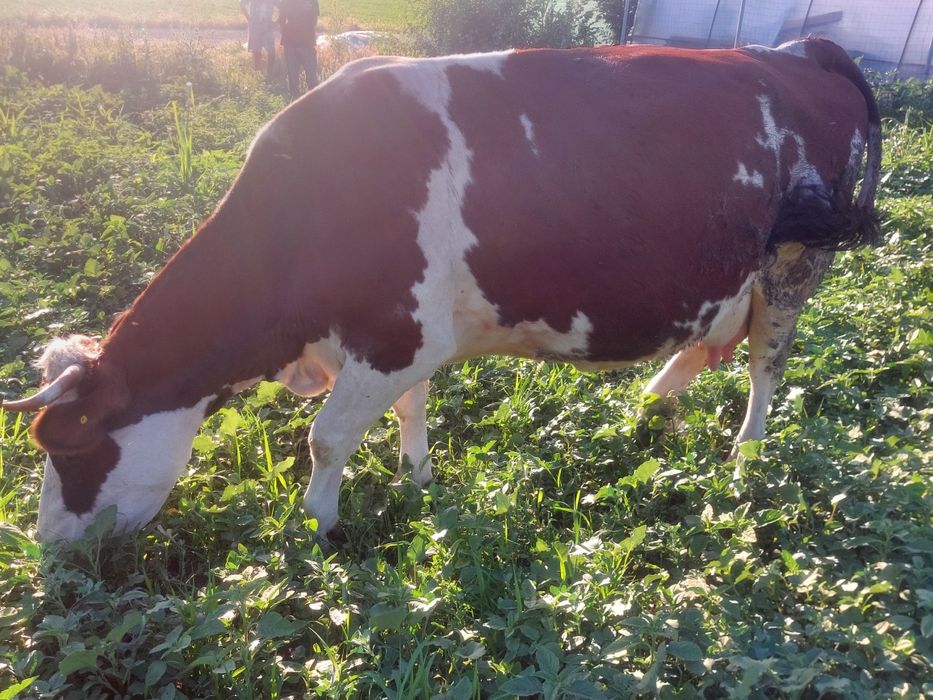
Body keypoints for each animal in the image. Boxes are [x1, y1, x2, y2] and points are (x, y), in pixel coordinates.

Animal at [2, 38, 881, 543]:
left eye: (66, 446)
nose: (47, 546)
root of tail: (798, 49)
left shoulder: (394, 334)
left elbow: (325, 438)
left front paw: (316, 527)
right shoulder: (406, 337)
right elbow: (408, 411)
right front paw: (415, 480)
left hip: (795, 262)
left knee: (765, 364)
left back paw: (745, 452)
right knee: (706, 345)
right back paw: (647, 404)